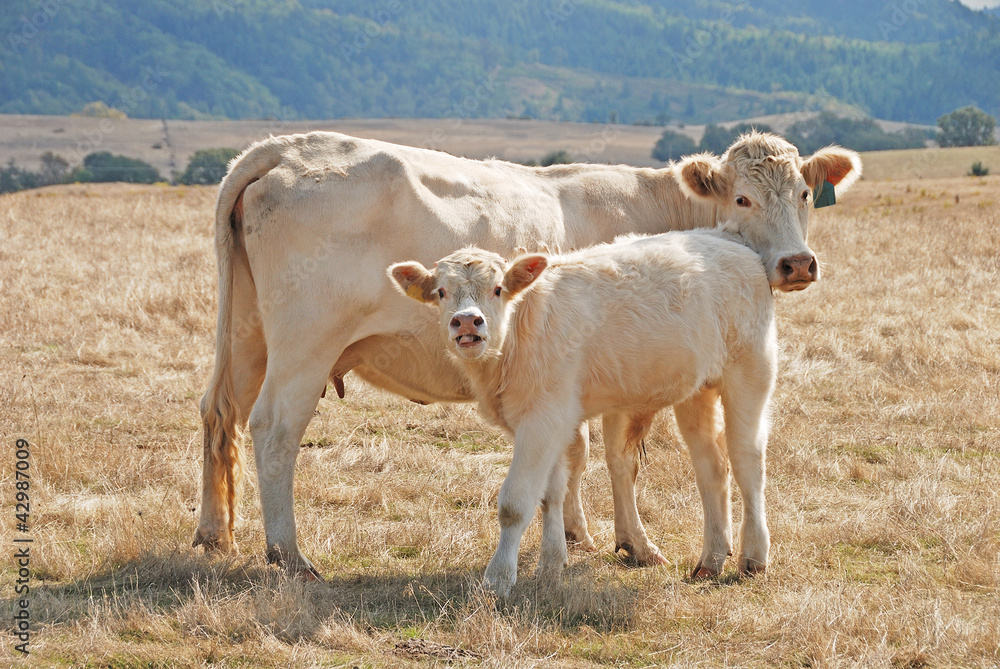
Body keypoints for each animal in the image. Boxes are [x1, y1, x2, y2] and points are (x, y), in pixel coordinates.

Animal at [389, 228, 780, 596]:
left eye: (497, 289)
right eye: (441, 292)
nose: (468, 322)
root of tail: (726, 239)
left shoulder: (542, 419)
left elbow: (515, 502)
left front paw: (497, 579)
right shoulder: (552, 422)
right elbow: (552, 493)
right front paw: (551, 565)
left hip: (750, 373)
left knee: (747, 463)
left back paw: (753, 556)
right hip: (696, 391)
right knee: (711, 467)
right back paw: (711, 559)